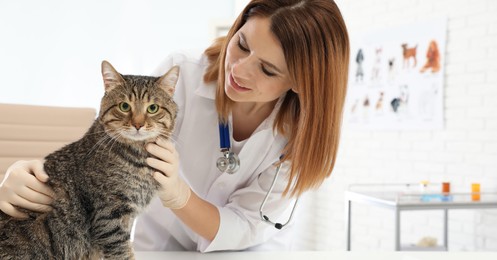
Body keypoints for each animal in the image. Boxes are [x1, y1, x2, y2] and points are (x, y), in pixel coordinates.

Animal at [0, 60, 178, 258]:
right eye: (124, 106)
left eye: (152, 108)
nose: (138, 124)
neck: (139, 158)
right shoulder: (110, 213)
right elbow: (122, 251)